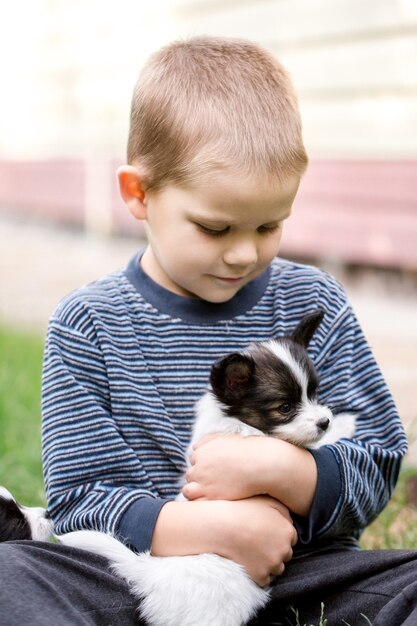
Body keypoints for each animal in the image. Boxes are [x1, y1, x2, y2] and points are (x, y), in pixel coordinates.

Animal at [58, 310, 356, 624]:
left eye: (314, 393)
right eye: (285, 407)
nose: (324, 421)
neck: (234, 419)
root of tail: (150, 573)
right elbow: (312, 448)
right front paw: (345, 425)